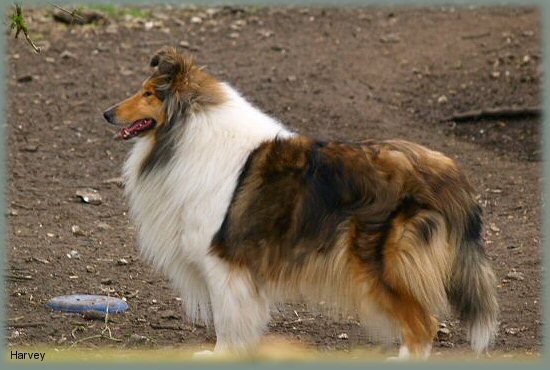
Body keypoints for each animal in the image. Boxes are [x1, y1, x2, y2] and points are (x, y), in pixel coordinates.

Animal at [103, 46, 500, 358]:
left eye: (149, 93)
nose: (106, 113)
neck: (188, 133)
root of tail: (447, 172)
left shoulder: (222, 261)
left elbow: (227, 322)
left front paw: (220, 355)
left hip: (380, 265)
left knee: (423, 326)